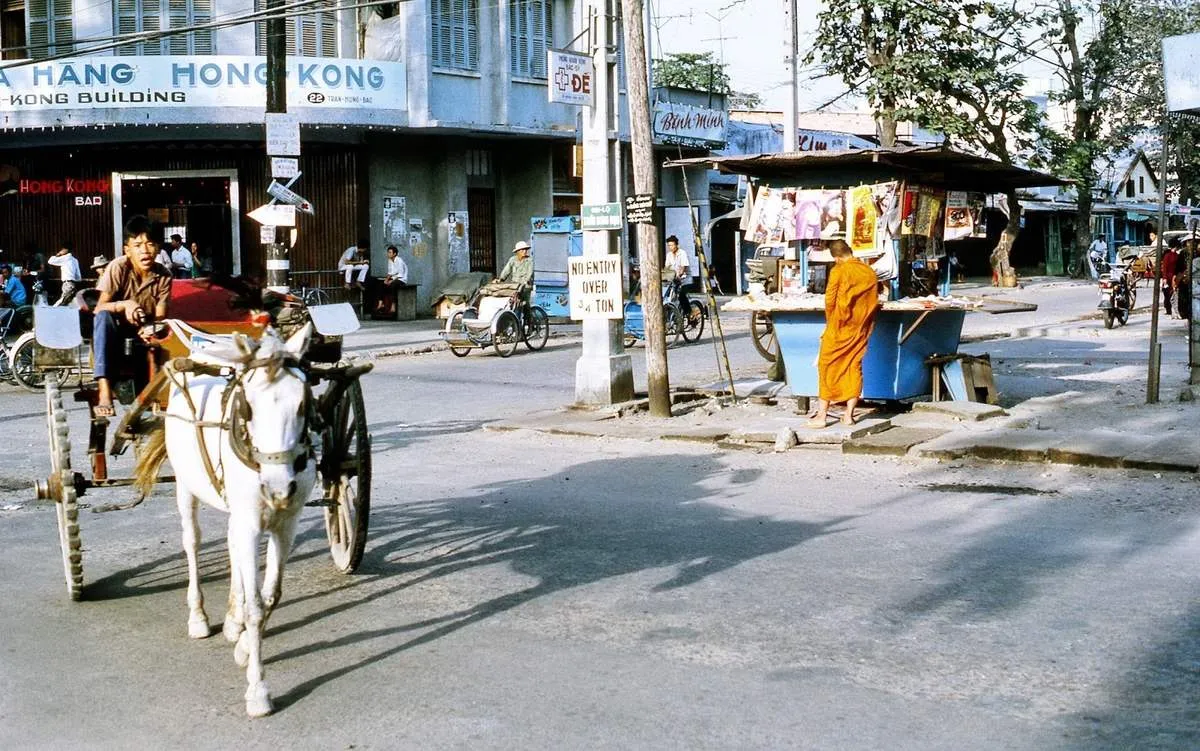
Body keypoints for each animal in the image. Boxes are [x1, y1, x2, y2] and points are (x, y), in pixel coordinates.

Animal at [138, 323, 316, 715]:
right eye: (247, 406)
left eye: (303, 403)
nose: (278, 488)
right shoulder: (250, 521)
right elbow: (255, 606)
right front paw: (258, 690)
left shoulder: (287, 523)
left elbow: (270, 595)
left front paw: (245, 643)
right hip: (186, 486)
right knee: (192, 542)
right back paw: (199, 617)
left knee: (234, 549)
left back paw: (232, 622)